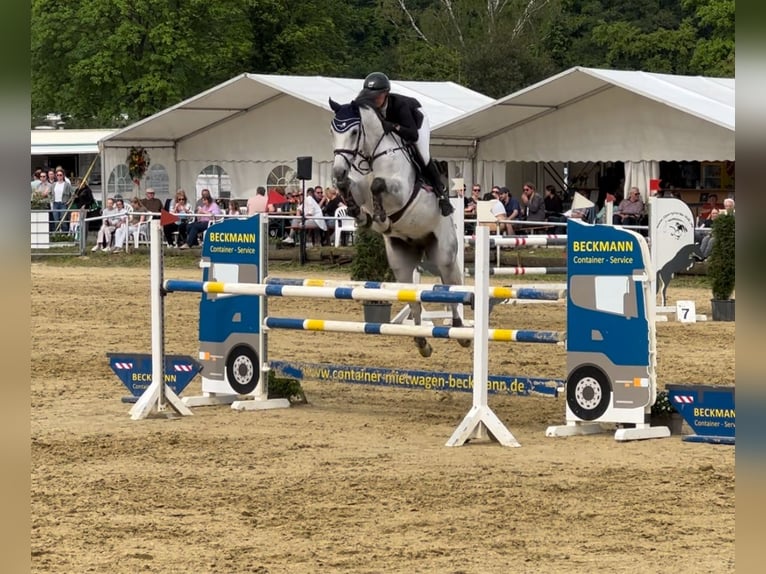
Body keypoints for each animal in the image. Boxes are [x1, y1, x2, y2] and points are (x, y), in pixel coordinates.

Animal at [328, 101, 468, 358]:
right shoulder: (359, 189)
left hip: (443, 253)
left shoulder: (400, 191)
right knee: (414, 300)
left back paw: (460, 332)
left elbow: (378, 184)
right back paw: (422, 342)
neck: (371, 156)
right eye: (332, 131)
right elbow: (351, 189)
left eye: (354, 132)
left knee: (449, 287)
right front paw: (361, 215)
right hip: (401, 262)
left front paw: (380, 217)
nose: (338, 171)